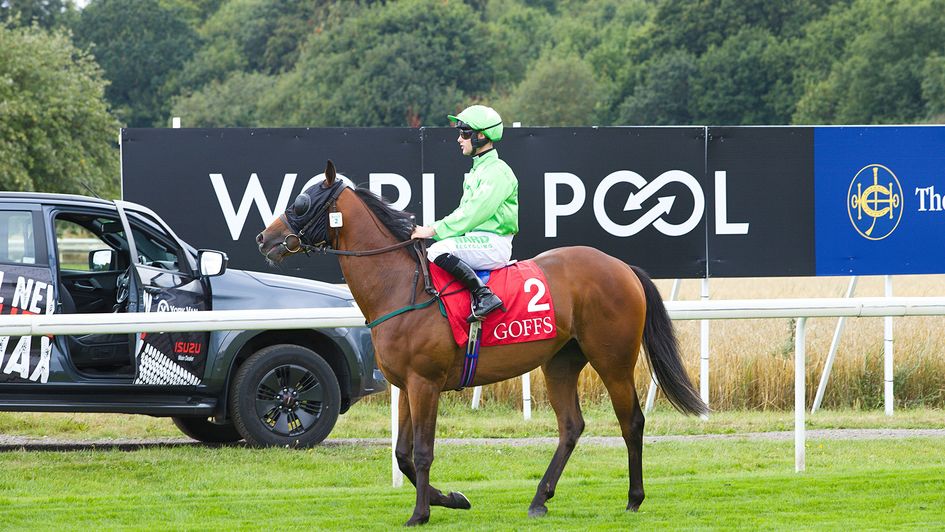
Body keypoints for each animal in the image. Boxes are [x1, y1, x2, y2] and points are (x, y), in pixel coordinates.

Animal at [258, 160, 708, 524]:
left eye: (301, 202)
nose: (265, 238)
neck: (402, 287)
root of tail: (623, 267)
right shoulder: (406, 384)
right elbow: (402, 455)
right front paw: (452, 498)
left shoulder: (426, 383)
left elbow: (422, 451)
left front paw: (420, 513)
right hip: (560, 362)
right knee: (571, 426)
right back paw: (540, 499)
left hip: (612, 359)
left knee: (631, 421)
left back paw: (634, 498)